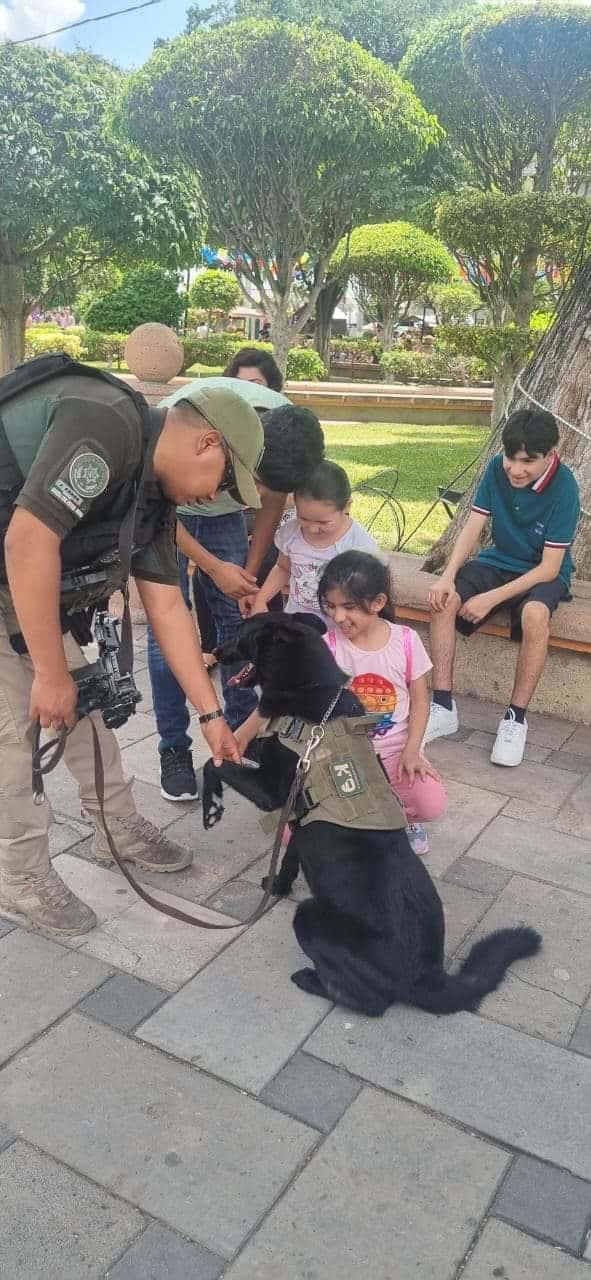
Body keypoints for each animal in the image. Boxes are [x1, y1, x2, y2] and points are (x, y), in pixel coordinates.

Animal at [202, 614, 539, 1013]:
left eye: (241, 631)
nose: (214, 652)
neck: (312, 688)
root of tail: (428, 978)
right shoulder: (300, 816)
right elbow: (289, 857)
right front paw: (279, 886)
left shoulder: (272, 792)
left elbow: (213, 764)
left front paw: (211, 806)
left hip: (310, 917)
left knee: (372, 1003)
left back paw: (312, 981)